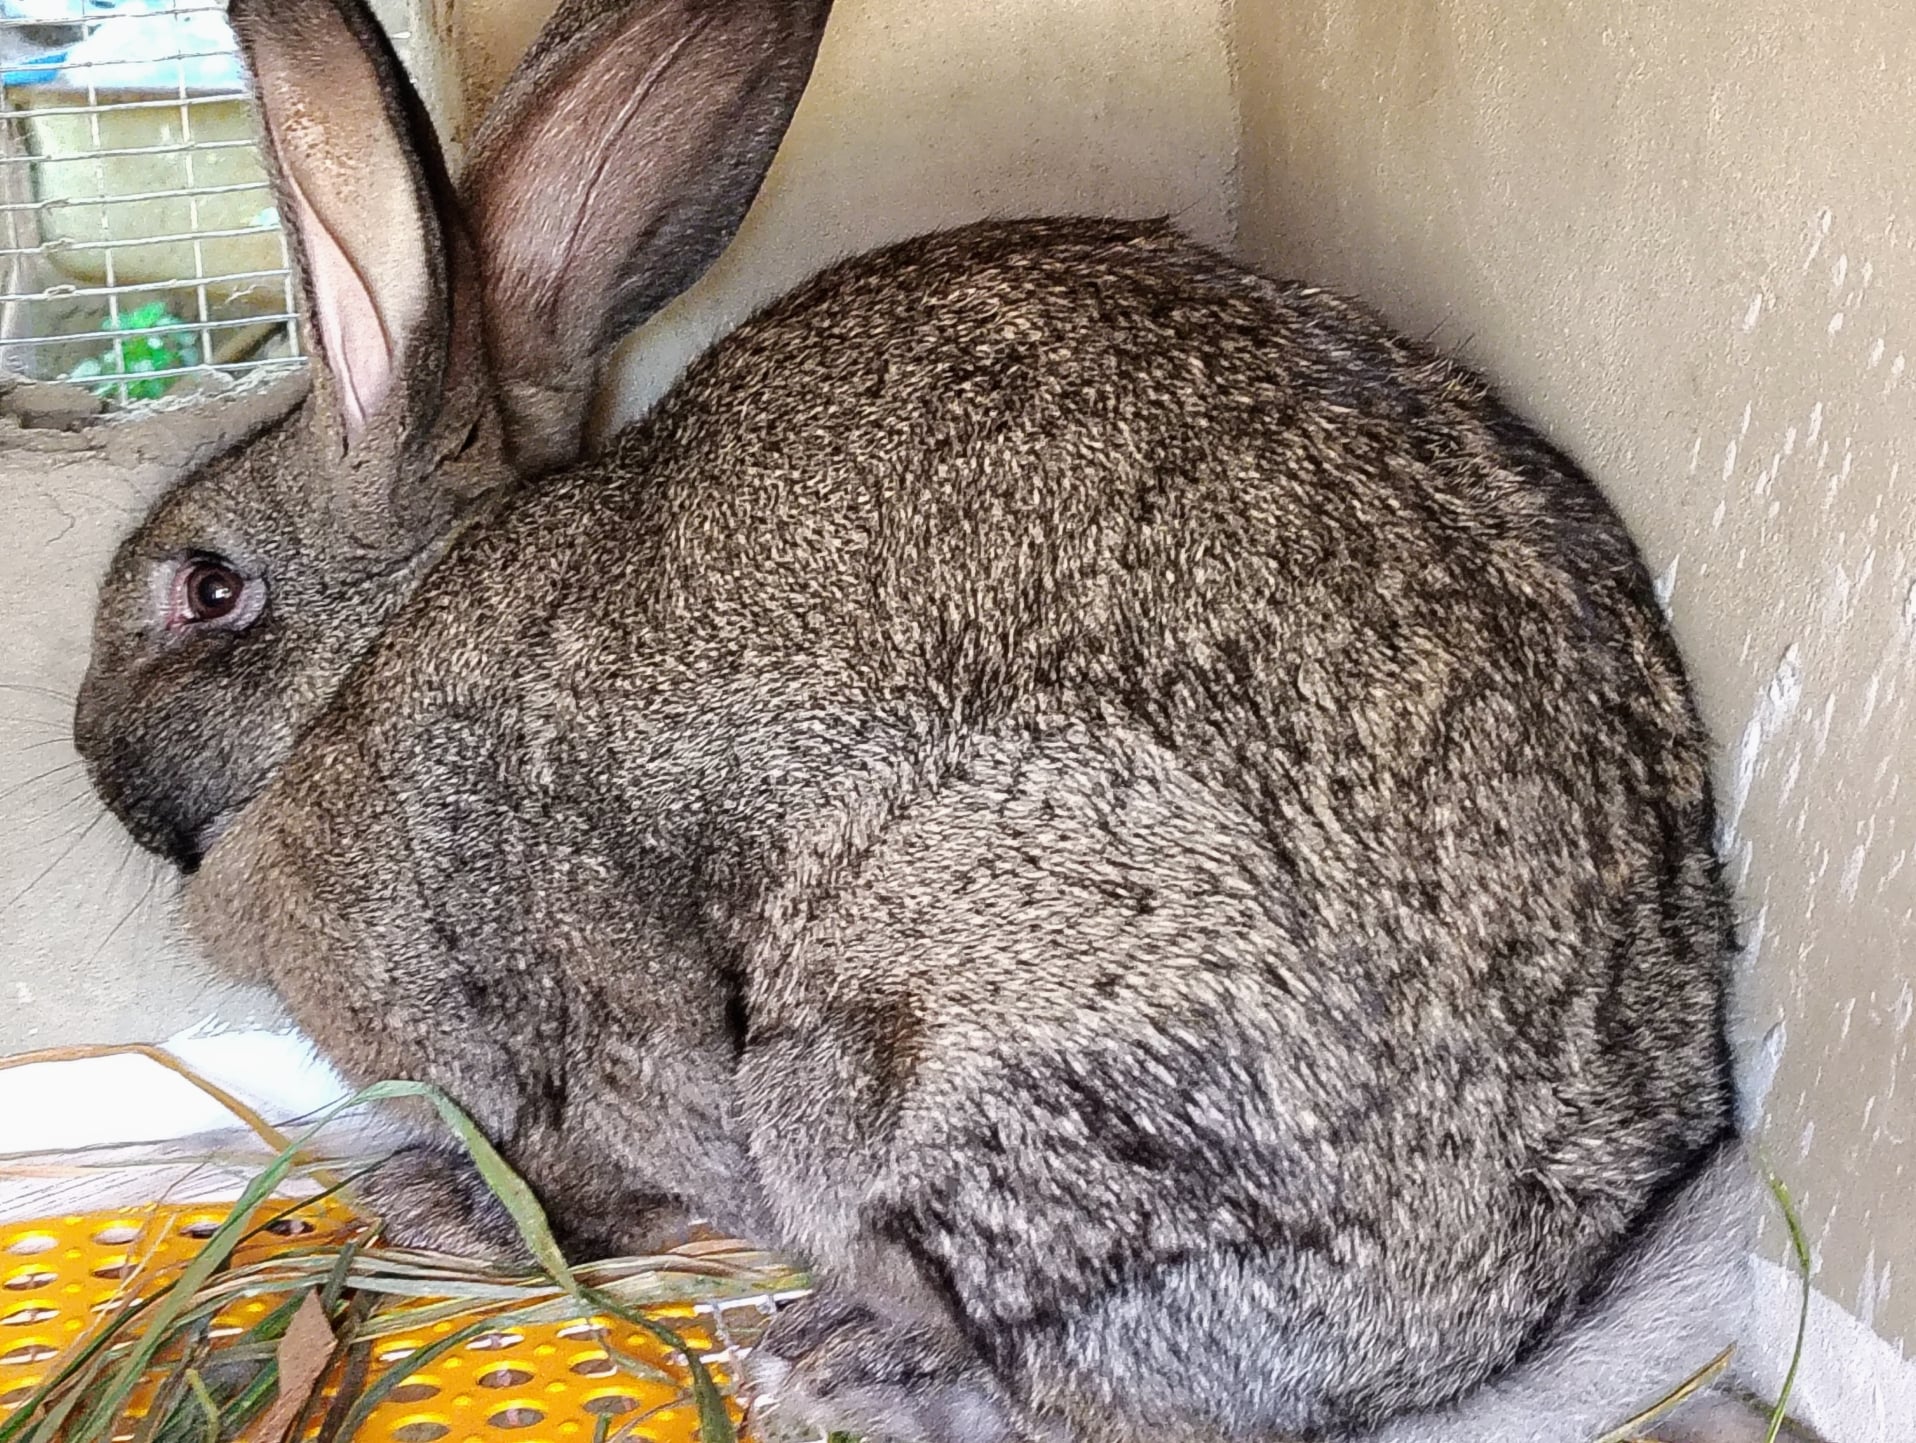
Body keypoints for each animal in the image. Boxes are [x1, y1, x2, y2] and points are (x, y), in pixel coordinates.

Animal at [69, 0, 1763, 1440]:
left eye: (205, 591)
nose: (87, 750)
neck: (373, 658)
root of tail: (1464, 1324)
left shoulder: (581, 994)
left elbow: (612, 1161)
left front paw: (448, 1209)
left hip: (910, 1047)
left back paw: (848, 1369)